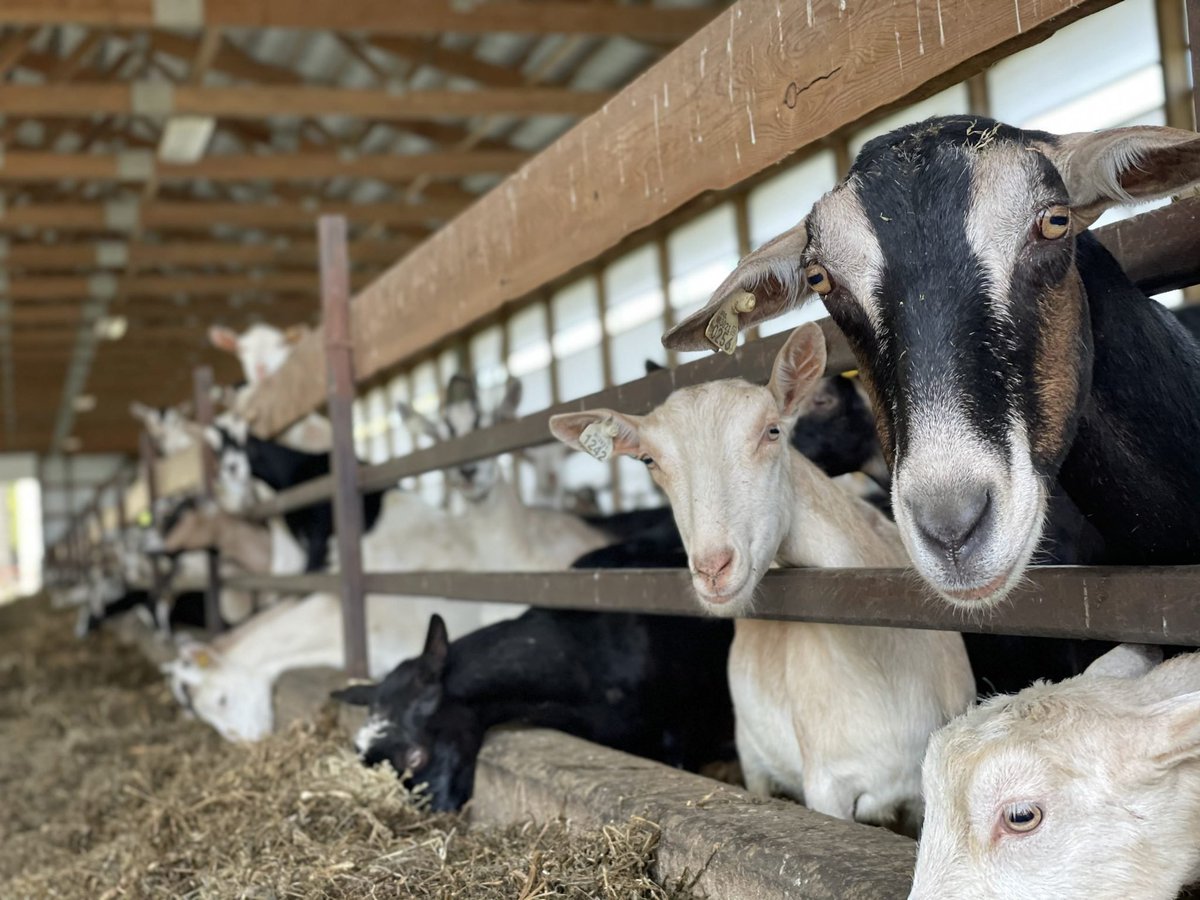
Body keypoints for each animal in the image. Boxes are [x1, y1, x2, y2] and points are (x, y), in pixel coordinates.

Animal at [552, 323, 974, 835]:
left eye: (772, 430)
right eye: (649, 460)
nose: (713, 569)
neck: (887, 665)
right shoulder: (826, 785)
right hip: (751, 752)